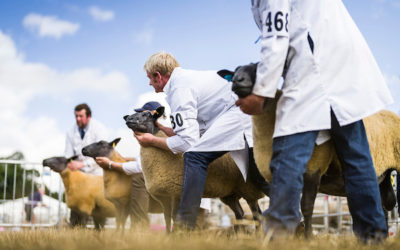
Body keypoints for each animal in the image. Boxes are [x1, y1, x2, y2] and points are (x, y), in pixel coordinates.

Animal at [123, 106, 264, 231]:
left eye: (147, 114)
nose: (128, 119)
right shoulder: (164, 198)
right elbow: (167, 221)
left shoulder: (176, 194)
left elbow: (176, 219)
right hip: (230, 194)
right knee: (240, 214)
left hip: (248, 188)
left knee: (257, 214)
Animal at [217, 63, 400, 237]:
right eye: (234, 72)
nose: (237, 82)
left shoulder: (314, 168)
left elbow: (306, 207)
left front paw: (308, 237)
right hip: (382, 176)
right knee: (384, 205)